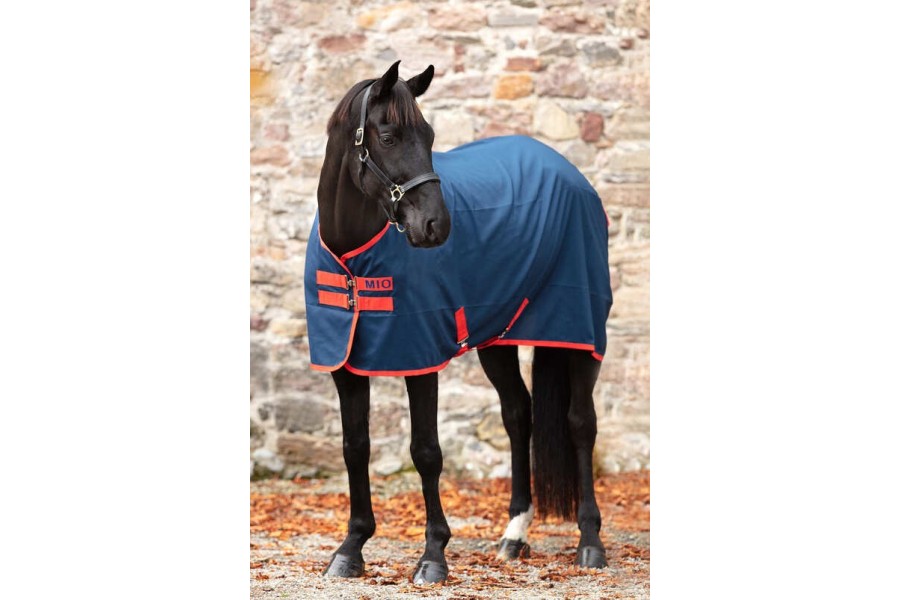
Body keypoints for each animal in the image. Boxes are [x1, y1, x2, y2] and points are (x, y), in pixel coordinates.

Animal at [304, 61, 613, 584]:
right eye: (387, 136)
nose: (436, 227)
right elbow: (355, 446)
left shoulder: (420, 357)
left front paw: (433, 554)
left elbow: (426, 452)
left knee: (580, 423)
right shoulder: (344, 364)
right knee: (518, 415)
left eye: (429, 135)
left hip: (579, 333)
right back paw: (514, 535)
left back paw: (590, 542)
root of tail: (570, 173)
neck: (353, 256)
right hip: (497, 339)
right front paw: (351, 547)